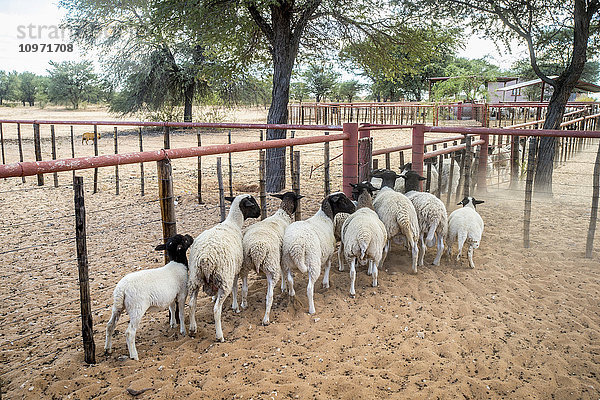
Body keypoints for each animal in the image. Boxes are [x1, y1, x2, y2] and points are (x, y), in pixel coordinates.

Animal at [189, 194, 262, 340]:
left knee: (192, 304)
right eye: (253, 203)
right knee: (217, 309)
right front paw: (236, 307)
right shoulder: (235, 270)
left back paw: (193, 328)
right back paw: (220, 335)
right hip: (224, 278)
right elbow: (234, 287)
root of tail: (205, 259)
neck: (233, 223)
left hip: (195, 278)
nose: (260, 212)